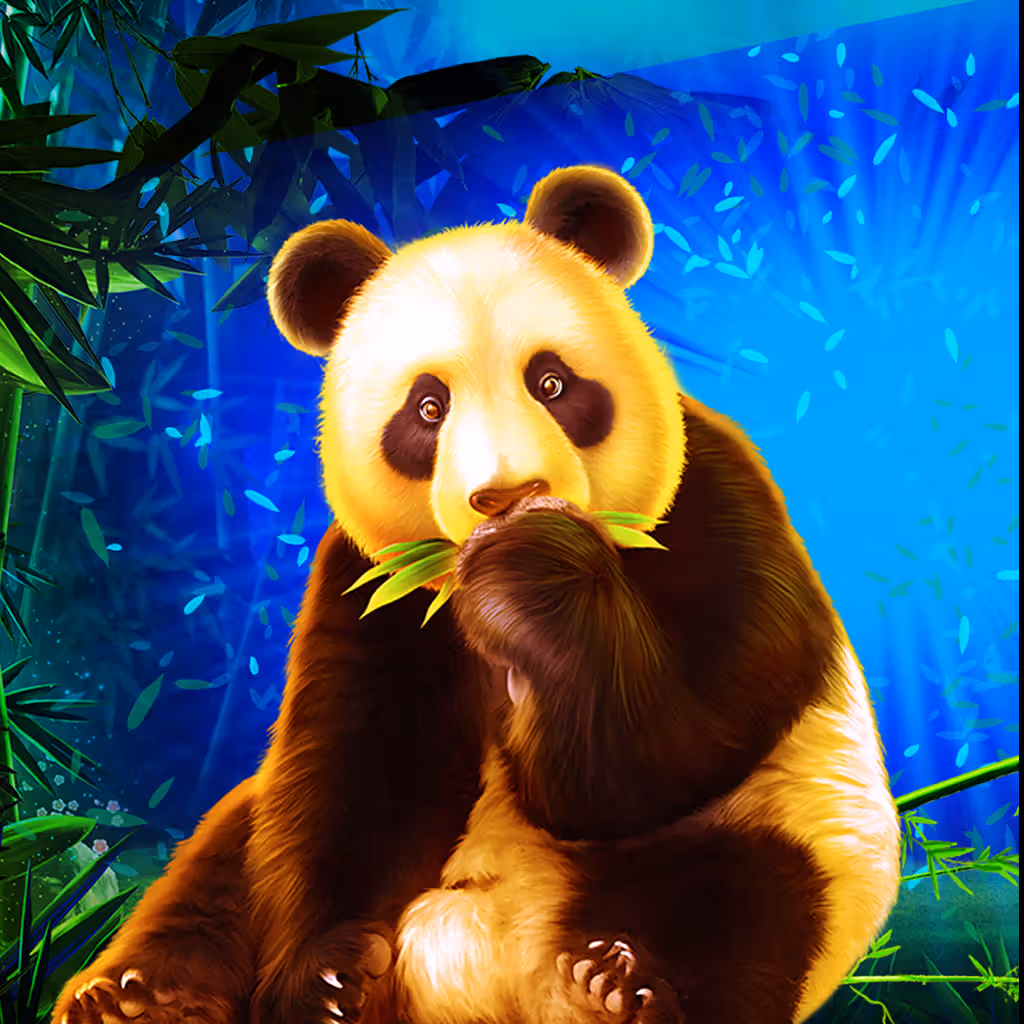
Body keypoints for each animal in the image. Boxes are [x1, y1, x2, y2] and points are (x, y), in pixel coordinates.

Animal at [51, 164, 900, 1024]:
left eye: (552, 382)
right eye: (428, 408)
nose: (507, 497)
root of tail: (502, 971)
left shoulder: (715, 503)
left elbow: (658, 750)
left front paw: (532, 575)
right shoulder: (374, 585)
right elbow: (360, 770)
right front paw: (328, 983)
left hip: (804, 831)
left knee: (746, 895)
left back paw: (624, 983)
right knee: (221, 869)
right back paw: (134, 997)